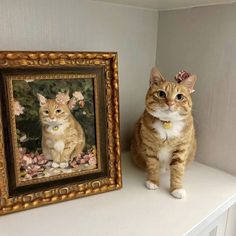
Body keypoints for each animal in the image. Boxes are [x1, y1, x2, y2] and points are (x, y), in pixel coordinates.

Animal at [132, 67, 196, 199]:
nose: (170, 103)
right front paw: (153, 182)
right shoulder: (150, 149)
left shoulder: (181, 150)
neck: (167, 123)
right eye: (161, 94)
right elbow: (153, 167)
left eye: (179, 97)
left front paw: (177, 189)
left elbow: (177, 170)